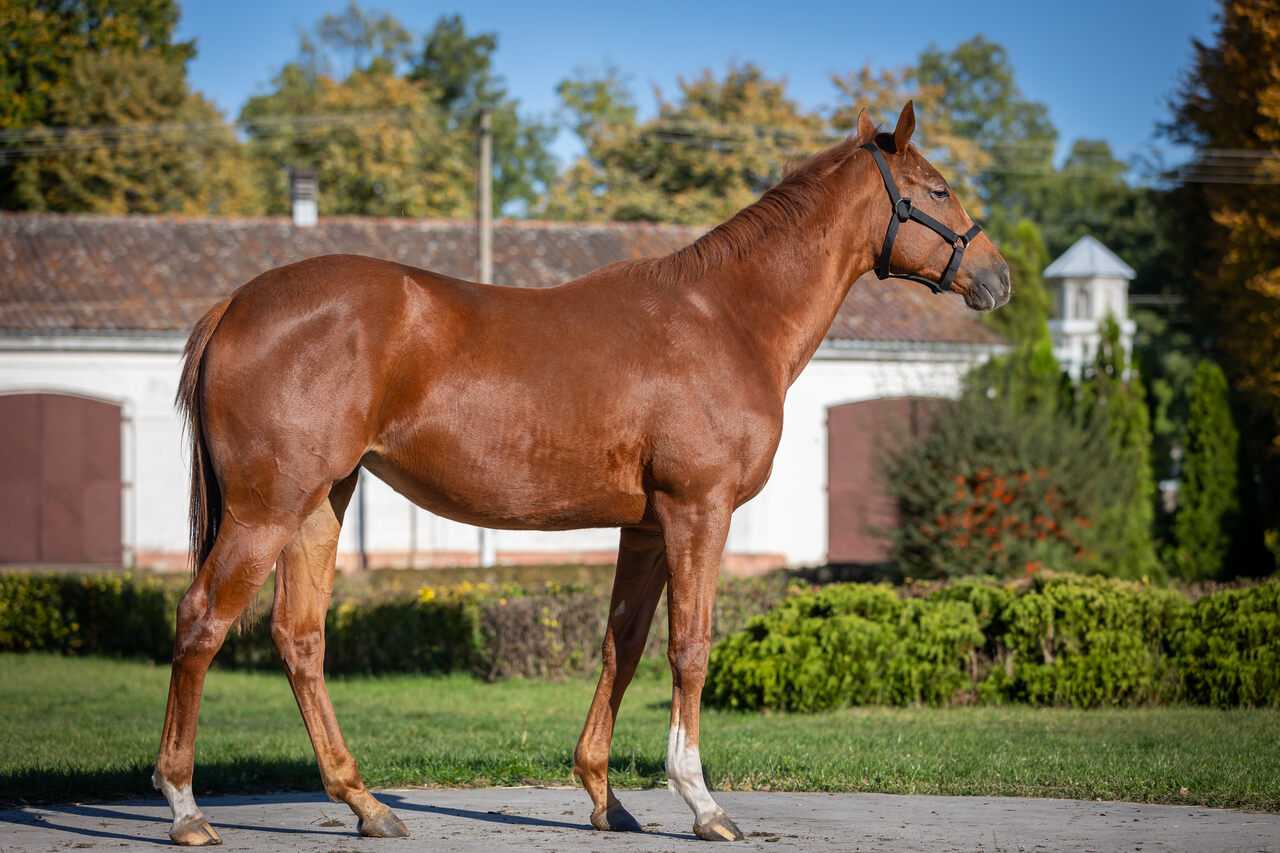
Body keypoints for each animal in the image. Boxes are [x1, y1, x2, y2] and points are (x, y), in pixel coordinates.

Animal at [152, 101, 1010, 846]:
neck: (726, 317)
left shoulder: (647, 527)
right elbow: (690, 646)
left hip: (320, 503)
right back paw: (187, 807)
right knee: (201, 621)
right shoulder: (699, 511)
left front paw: (605, 795)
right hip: (266, 509)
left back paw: (363, 802)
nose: (997, 277)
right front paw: (702, 801)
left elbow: (620, 645)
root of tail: (237, 305)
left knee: (300, 638)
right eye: (938, 188)